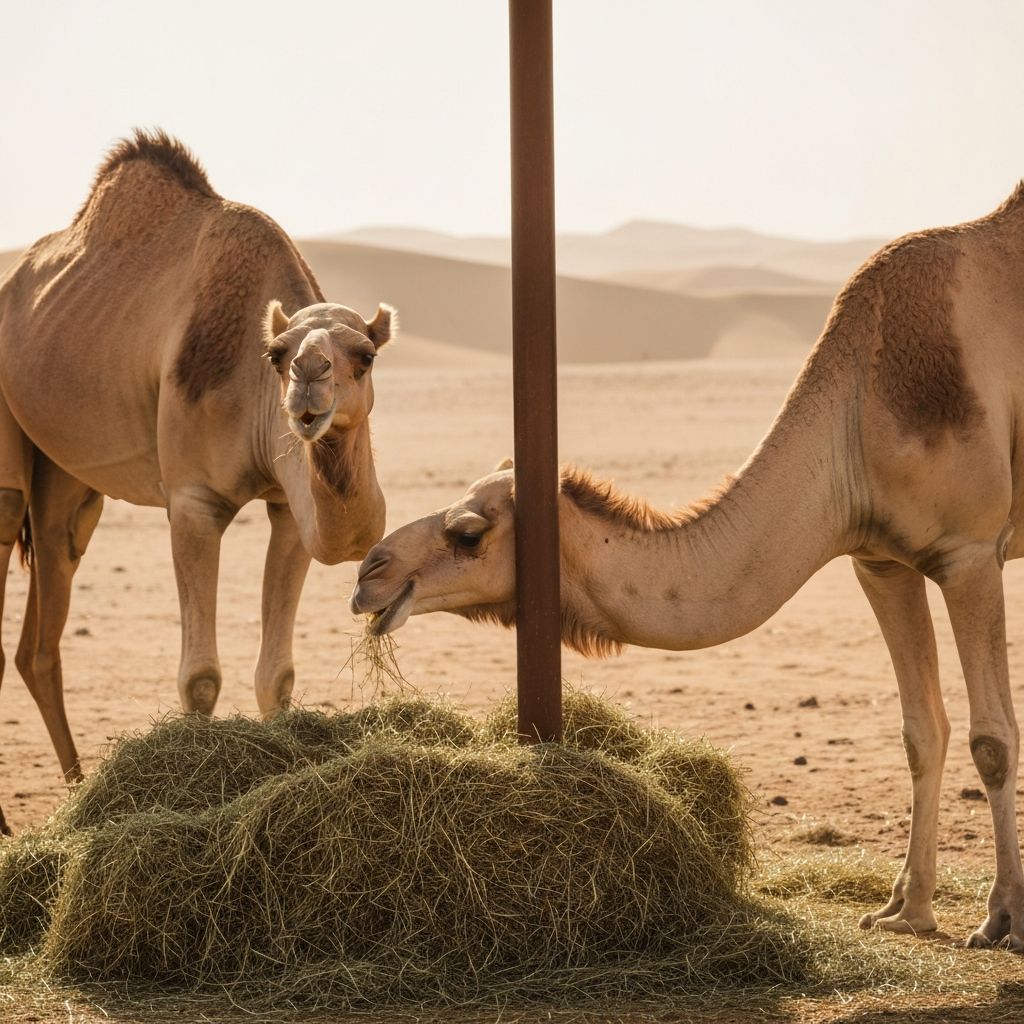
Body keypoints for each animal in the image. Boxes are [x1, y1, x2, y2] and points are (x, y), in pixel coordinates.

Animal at [0, 130, 395, 835]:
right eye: (277, 355)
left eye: (365, 355)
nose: (309, 380)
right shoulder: (193, 501)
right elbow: (201, 678)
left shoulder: (287, 507)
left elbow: (277, 675)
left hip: (68, 482)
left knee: (41, 630)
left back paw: (76, 795)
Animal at [351, 184, 1024, 951]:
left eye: (468, 533)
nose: (370, 573)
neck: (855, 419)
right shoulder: (879, 559)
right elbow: (921, 732)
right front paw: (904, 911)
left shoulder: (970, 550)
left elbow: (993, 739)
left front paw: (1003, 917)